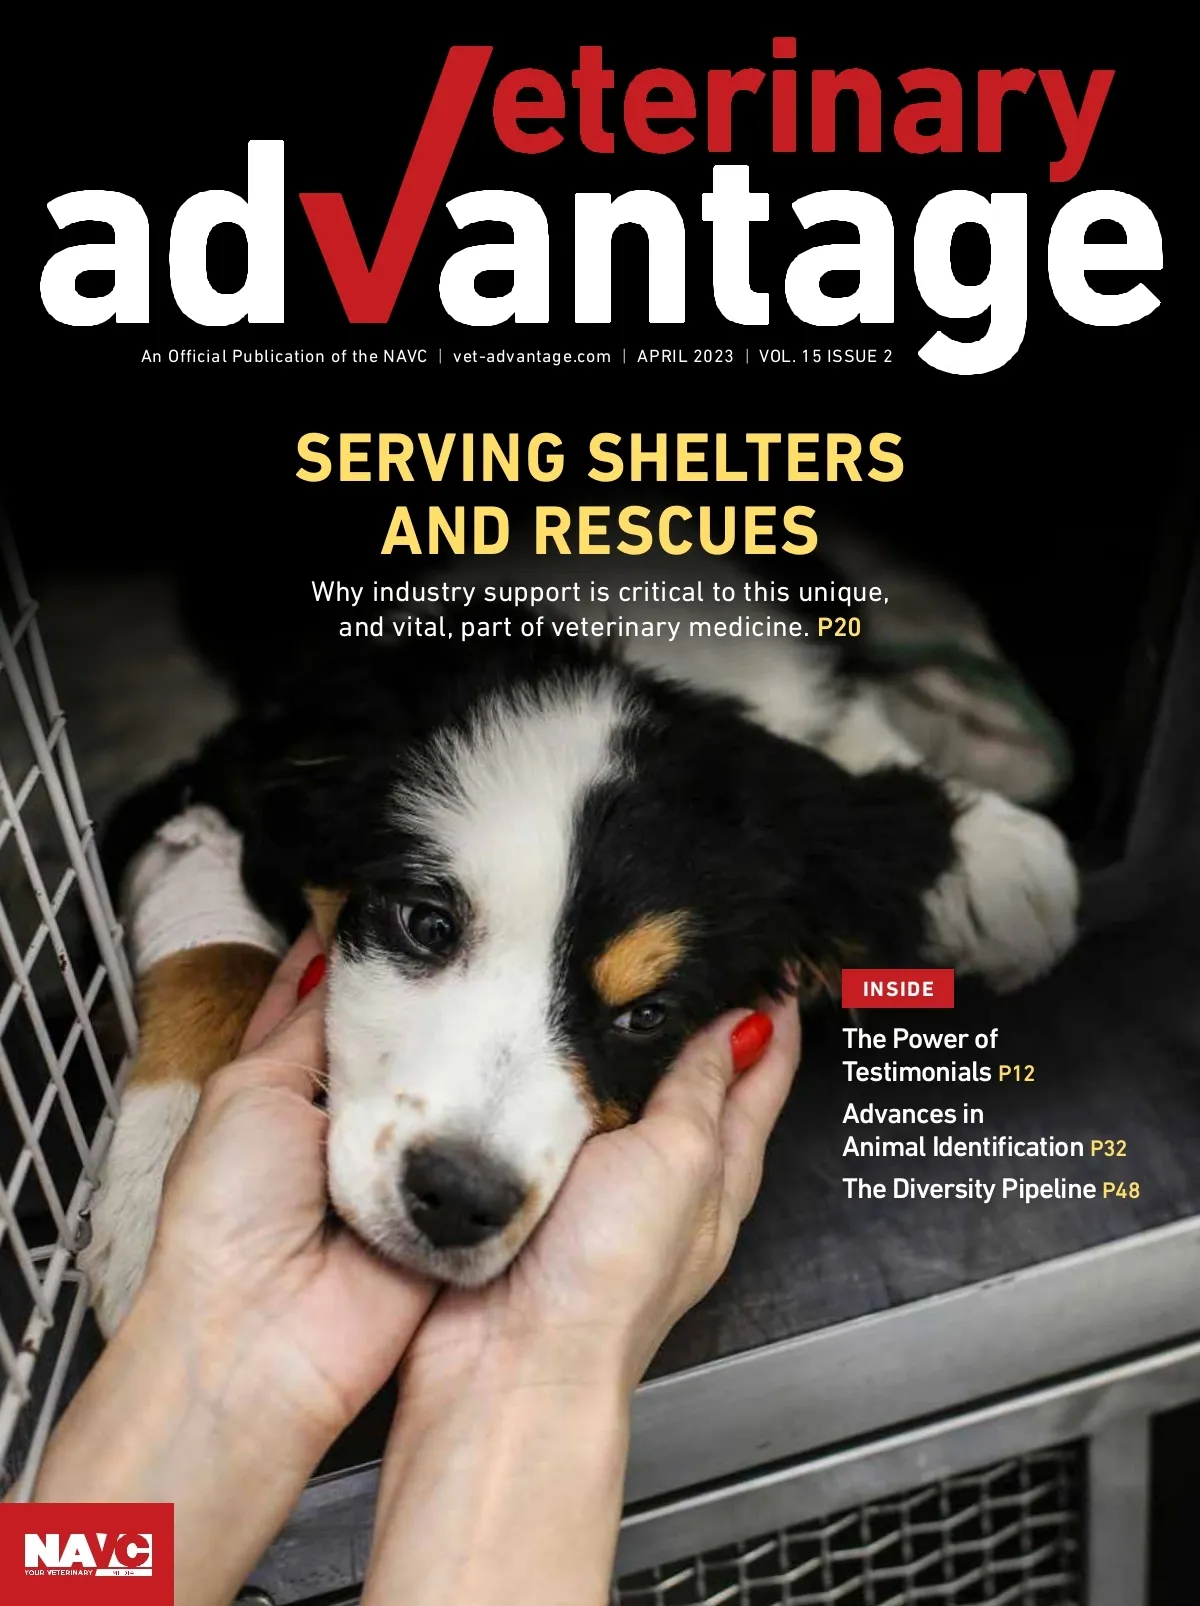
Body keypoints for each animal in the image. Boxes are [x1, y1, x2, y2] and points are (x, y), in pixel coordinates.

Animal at [80, 562, 1078, 1334]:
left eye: (647, 1015)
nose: (458, 1199)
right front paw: (164, 1192)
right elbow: (215, 957)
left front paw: (991, 848)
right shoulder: (196, 787)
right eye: (426, 924)